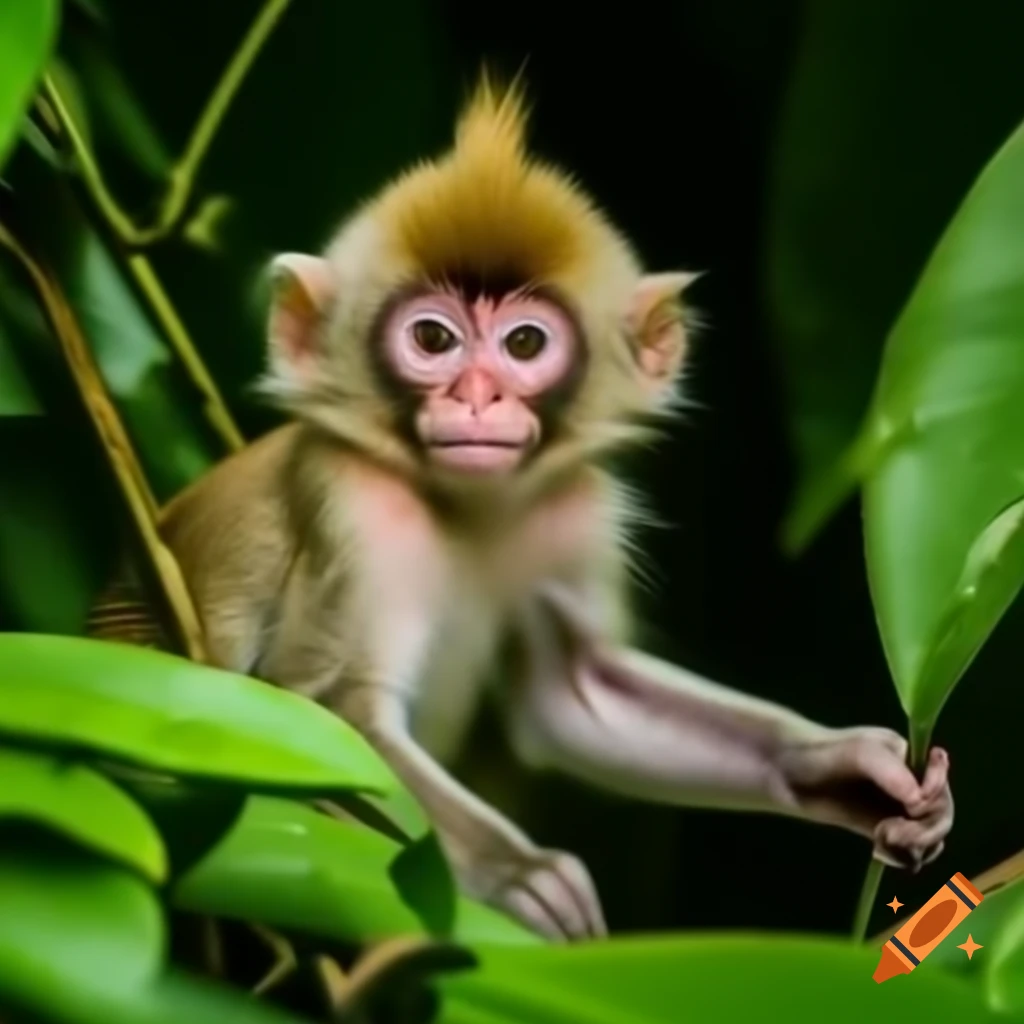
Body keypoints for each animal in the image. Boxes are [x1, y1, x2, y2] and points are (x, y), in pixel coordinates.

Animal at [102, 74, 954, 941]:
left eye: (522, 345)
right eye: (433, 338)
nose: (478, 397)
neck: (465, 507)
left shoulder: (571, 513)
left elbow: (574, 694)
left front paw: (846, 770)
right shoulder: (355, 507)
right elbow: (321, 716)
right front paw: (518, 875)